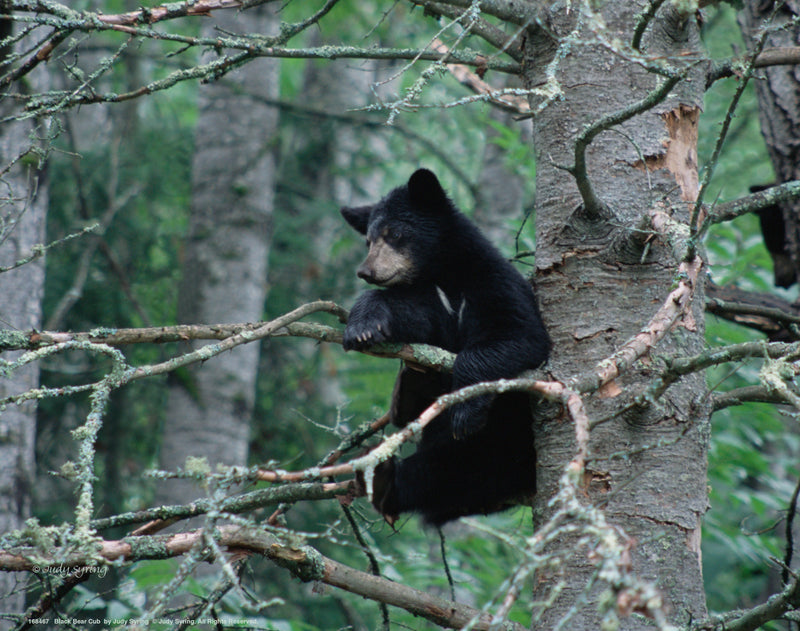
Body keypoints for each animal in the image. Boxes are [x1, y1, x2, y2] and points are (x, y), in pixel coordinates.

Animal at [341, 168, 550, 526]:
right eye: (368, 240)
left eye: (395, 233)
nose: (366, 271)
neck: (443, 272)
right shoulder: (430, 299)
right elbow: (410, 315)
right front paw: (364, 327)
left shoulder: (491, 282)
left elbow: (519, 335)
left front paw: (465, 410)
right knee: (440, 474)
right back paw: (383, 475)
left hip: (505, 437)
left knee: (454, 465)